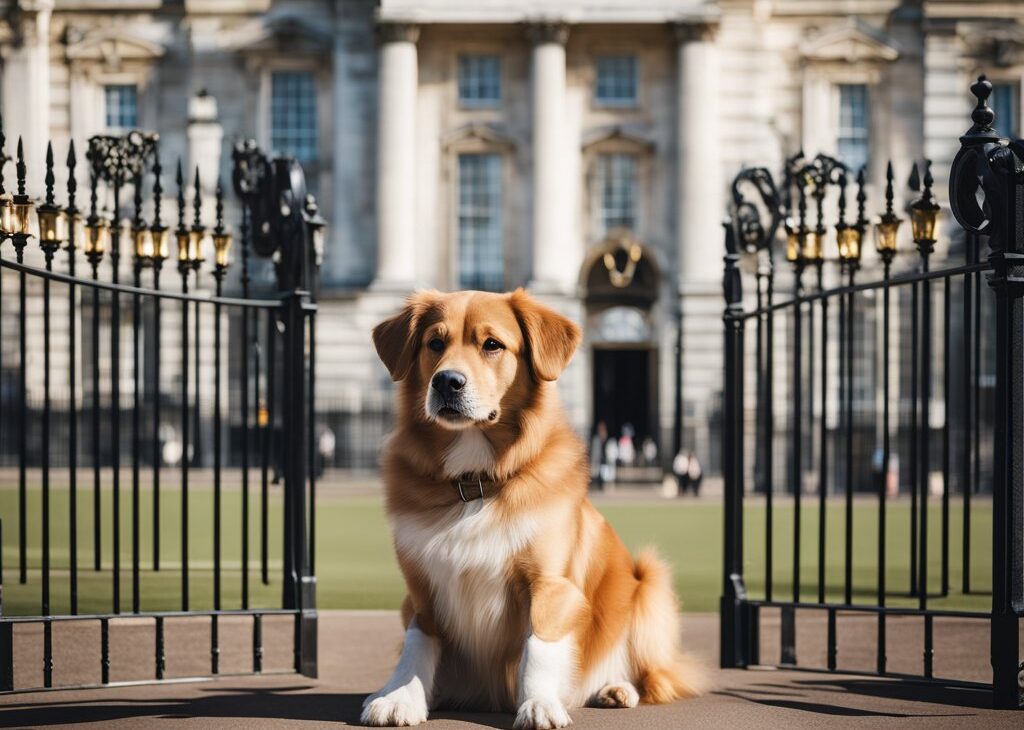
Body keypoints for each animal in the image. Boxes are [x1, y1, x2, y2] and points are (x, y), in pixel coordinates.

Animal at [362, 290, 704, 728]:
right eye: (434, 343)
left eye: (492, 344)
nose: (447, 382)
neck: (475, 484)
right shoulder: (421, 589)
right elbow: (417, 644)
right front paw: (401, 697)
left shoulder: (549, 584)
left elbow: (539, 647)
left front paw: (538, 702)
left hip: (649, 582)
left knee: (652, 677)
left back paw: (616, 688)